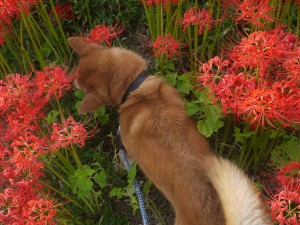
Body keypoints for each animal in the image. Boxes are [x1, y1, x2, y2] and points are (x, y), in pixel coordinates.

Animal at [68, 36, 268, 224]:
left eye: (80, 84)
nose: (71, 84)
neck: (135, 89)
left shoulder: (128, 149)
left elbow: (124, 162)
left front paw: (118, 167)